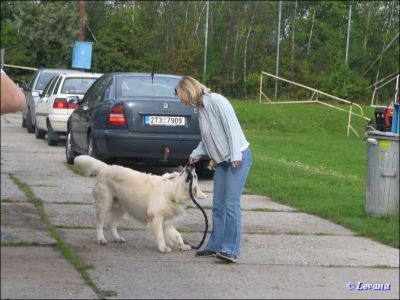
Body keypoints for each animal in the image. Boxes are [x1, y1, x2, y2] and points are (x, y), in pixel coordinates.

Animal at [74, 156, 206, 252]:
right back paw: (101, 239)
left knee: (111, 224)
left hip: (121, 208)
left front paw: (182, 245)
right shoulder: (156, 217)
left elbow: (177, 234)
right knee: (100, 223)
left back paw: (117, 238)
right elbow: (160, 234)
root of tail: (106, 167)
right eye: (183, 171)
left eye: (195, 176)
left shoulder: (165, 221)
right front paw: (163, 247)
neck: (172, 192)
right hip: (104, 204)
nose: (192, 164)